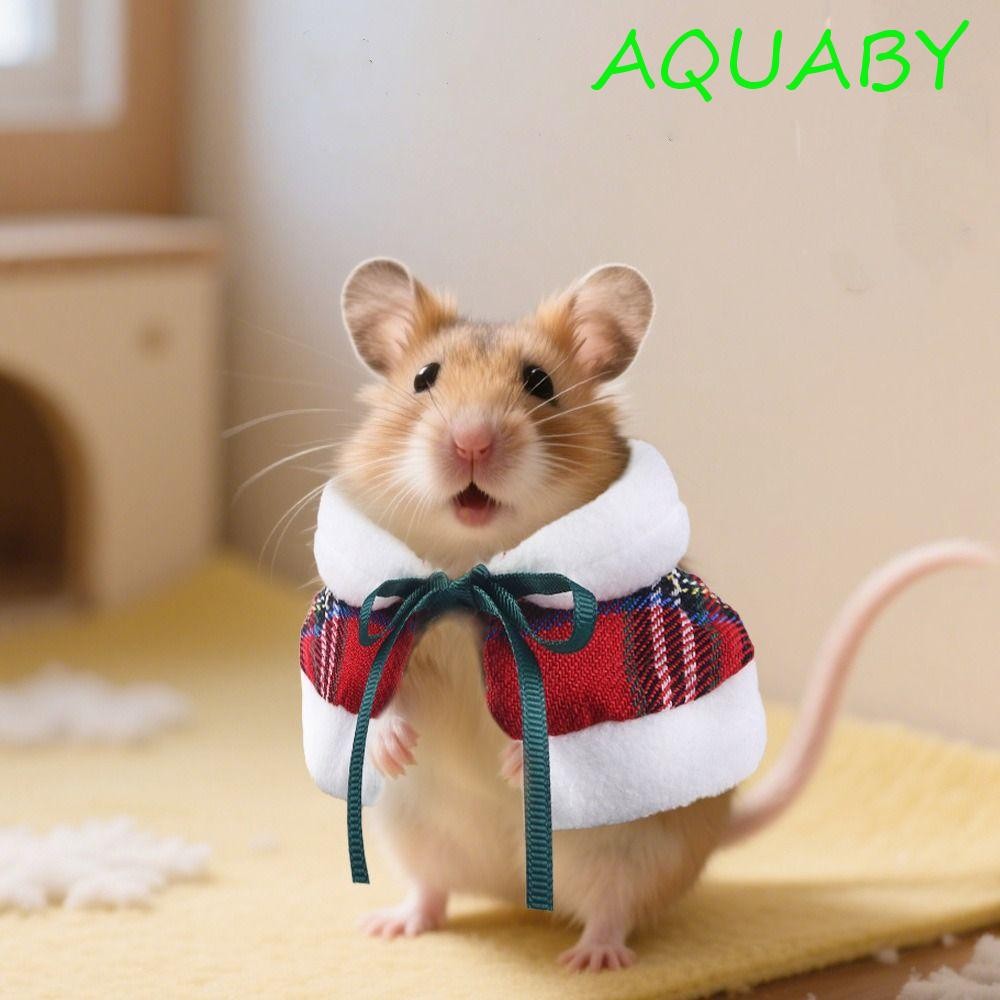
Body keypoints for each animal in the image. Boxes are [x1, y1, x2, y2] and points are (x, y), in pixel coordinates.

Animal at [329, 257, 992, 972]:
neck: (476, 569)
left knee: (612, 909)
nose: (471, 441)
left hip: (634, 851)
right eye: (424, 378)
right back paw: (391, 925)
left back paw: (592, 961)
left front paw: (517, 763)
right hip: (411, 833)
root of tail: (517, 892)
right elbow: (381, 690)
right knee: (433, 890)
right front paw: (395, 749)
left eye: (540, 383)